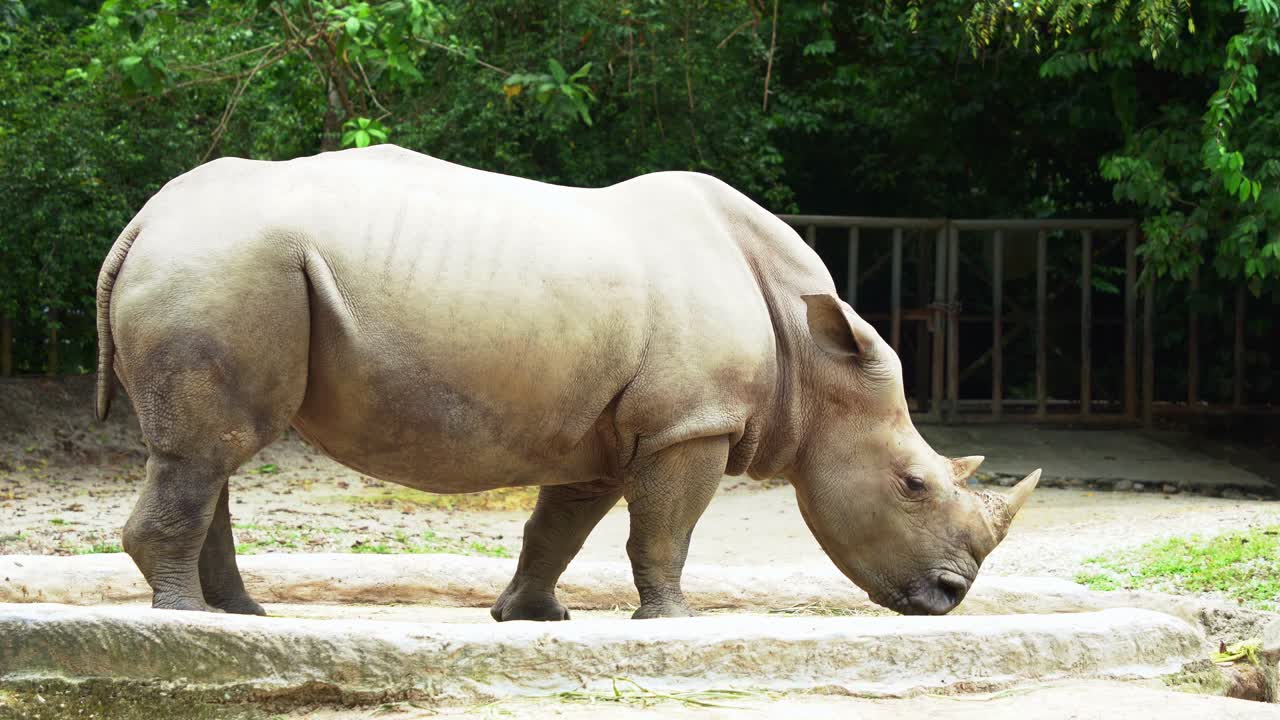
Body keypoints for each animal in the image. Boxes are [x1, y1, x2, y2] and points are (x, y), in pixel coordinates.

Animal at [95, 145, 1040, 620]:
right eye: (913, 485)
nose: (950, 599)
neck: (813, 364)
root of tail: (144, 219)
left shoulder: (606, 432)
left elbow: (561, 527)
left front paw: (530, 619)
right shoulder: (693, 422)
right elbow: (666, 530)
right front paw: (672, 625)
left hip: (222, 266)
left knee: (211, 452)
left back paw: (239, 616)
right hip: (223, 267)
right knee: (211, 448)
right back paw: (187, 620)